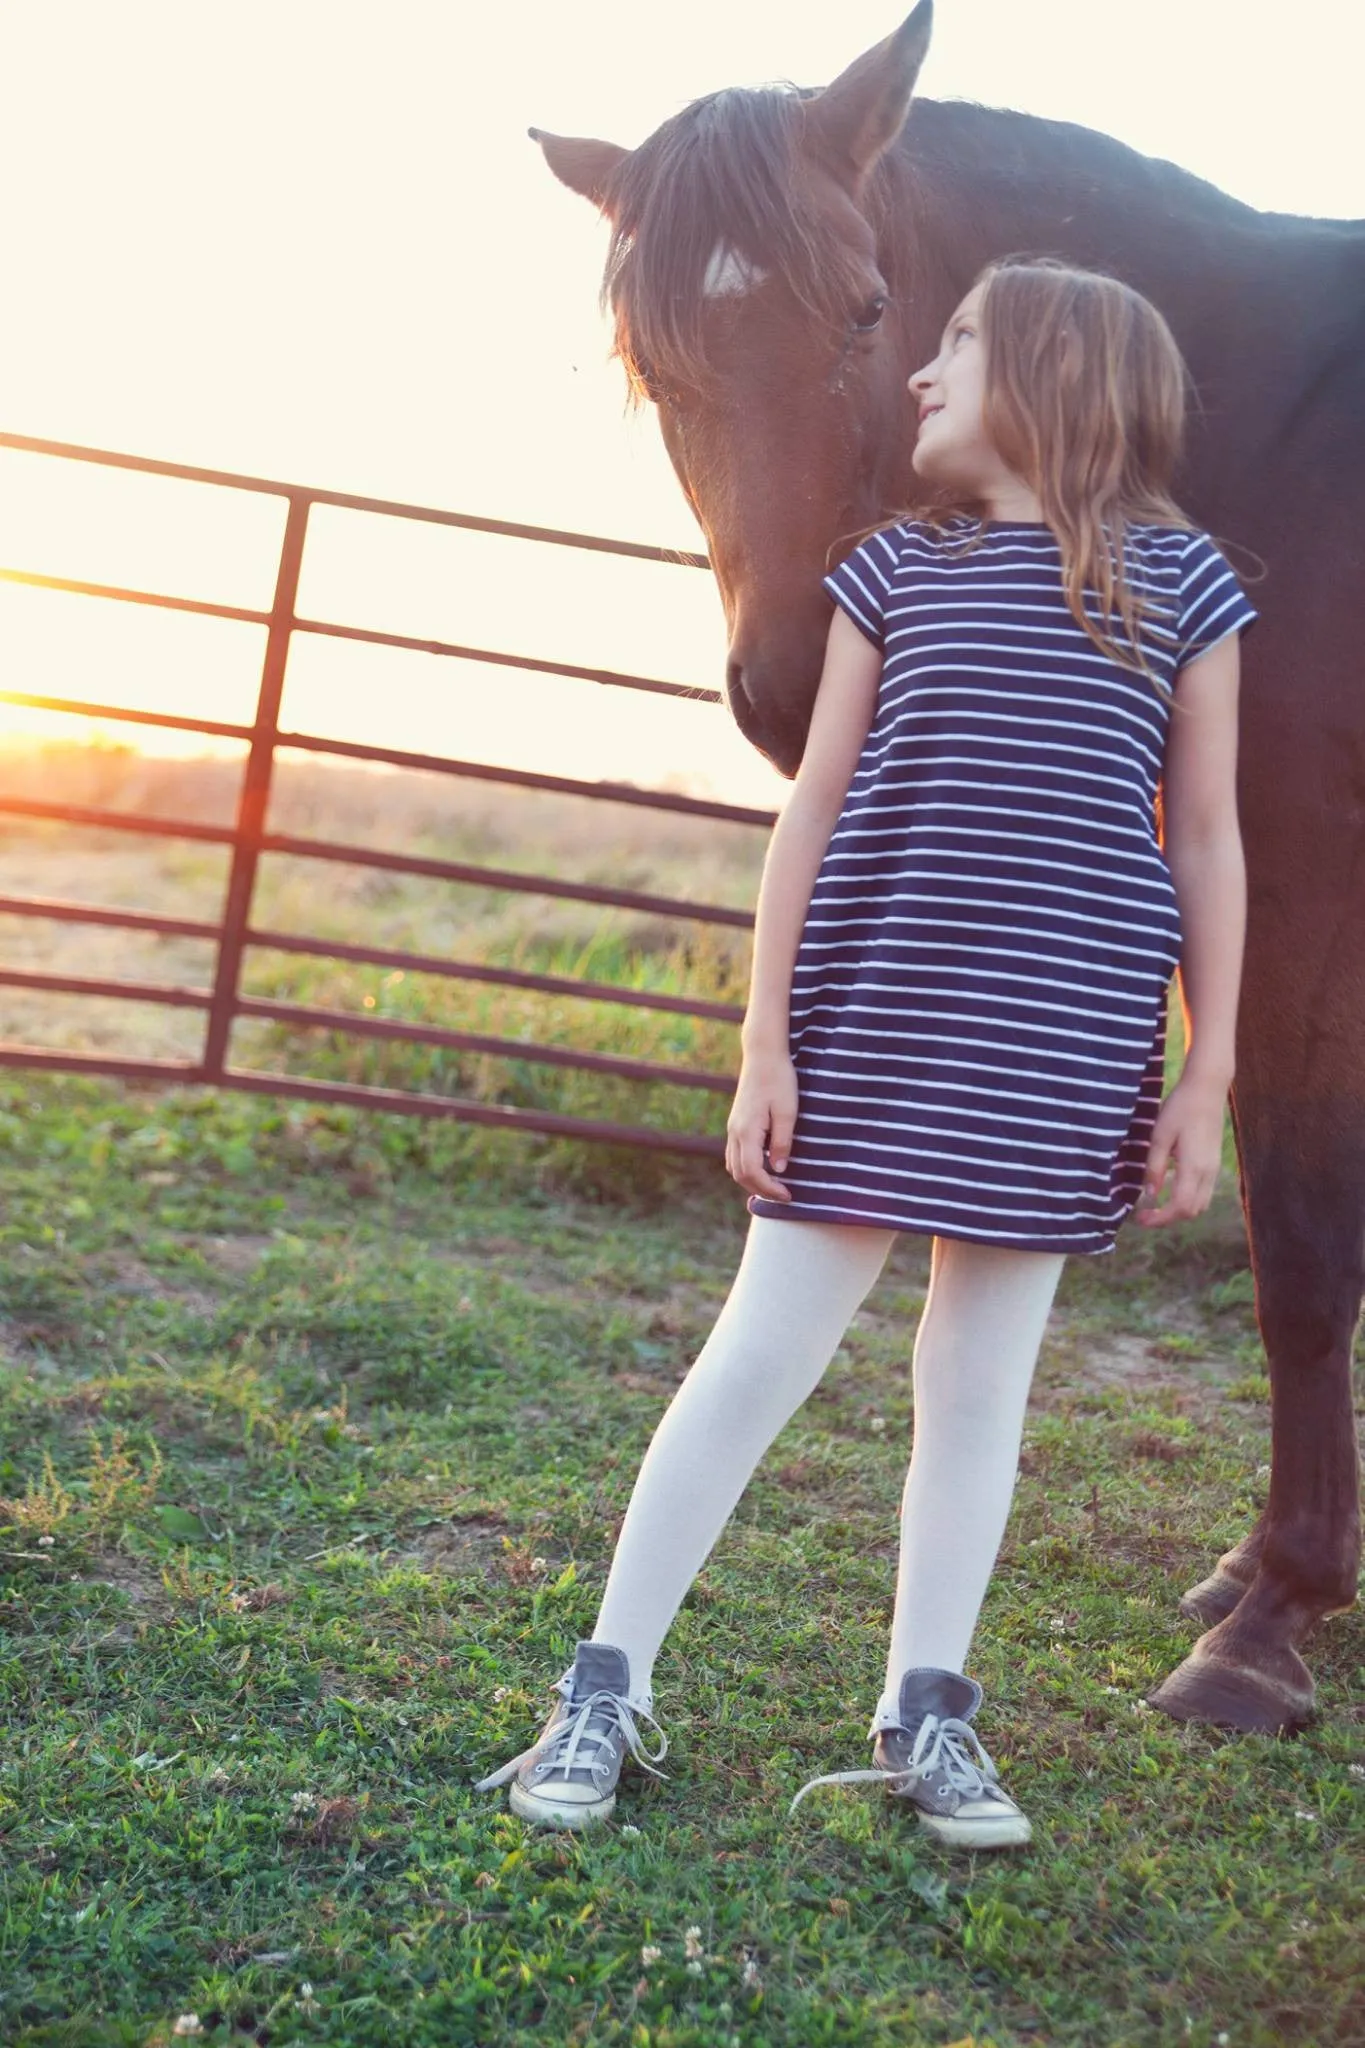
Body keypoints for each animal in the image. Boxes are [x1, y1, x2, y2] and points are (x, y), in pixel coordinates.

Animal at [527, 0, 1358, 1736]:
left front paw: (1271, 1625)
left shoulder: (1306, 892)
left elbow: (1309, 1241)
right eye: (653, 365)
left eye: (863, 309)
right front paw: (1265, 1575)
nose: (790, 687)